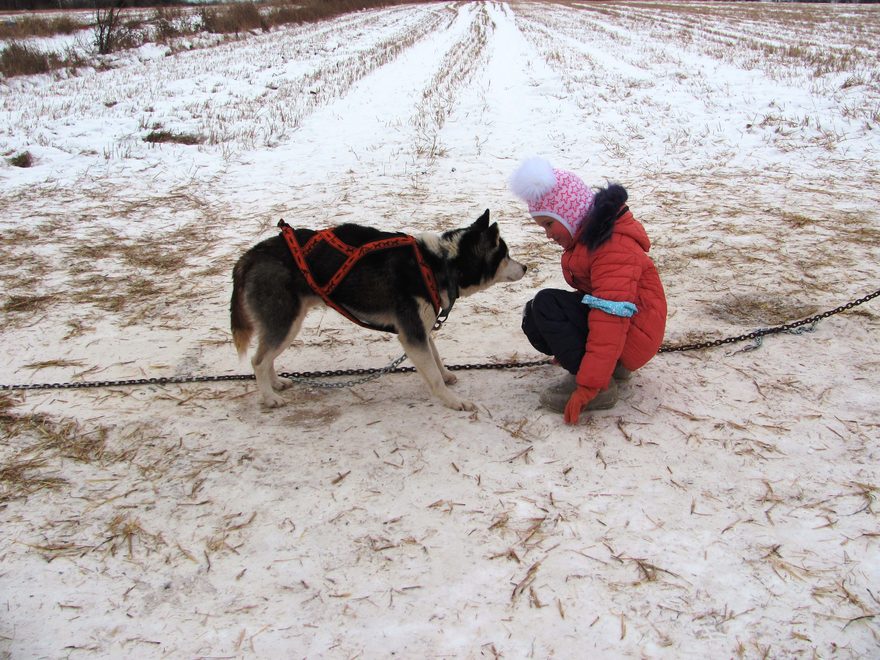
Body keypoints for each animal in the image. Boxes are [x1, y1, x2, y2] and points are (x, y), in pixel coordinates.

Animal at [230, 209, 524, 410]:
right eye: (506, 255)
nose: (526, 267)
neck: (438, 263)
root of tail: (251, 255)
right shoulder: (412, 332)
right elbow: (432, 375)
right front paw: (453, 401)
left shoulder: (422, 326)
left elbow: (437, 358)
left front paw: (447, 375)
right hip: (286, 322)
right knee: (259, 360)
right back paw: (270, 397)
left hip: (286, 323)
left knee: (266, 357)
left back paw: (276, 383)